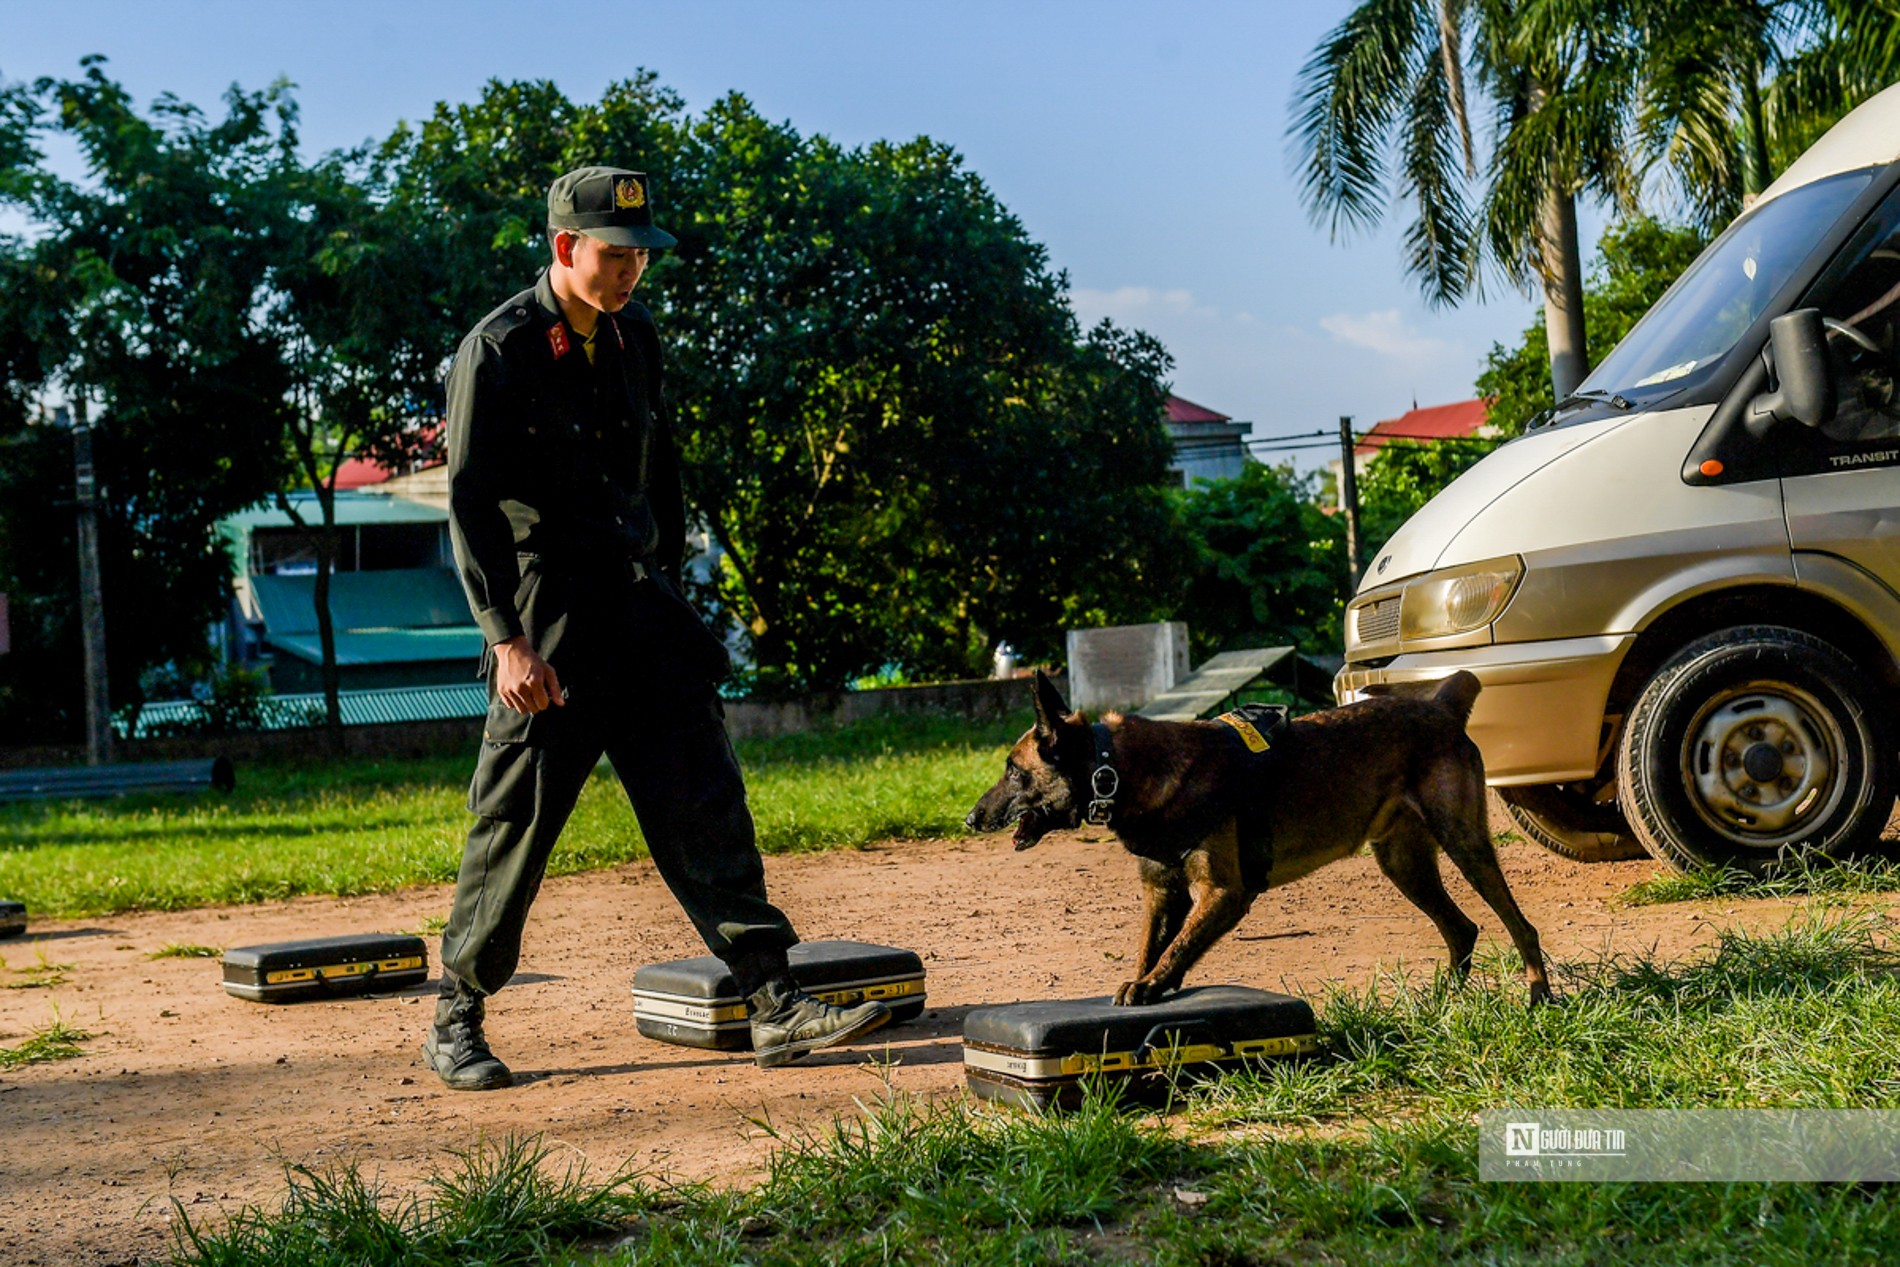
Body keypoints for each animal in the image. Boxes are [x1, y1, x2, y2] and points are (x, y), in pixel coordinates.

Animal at [965, 672, 1542, 1010]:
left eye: (1013, 772)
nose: (971, 817)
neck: (1118, 768)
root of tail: (1443, 705)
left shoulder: (1223, 892)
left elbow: (1178, 947)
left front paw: (1152, 986)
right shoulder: (1163, 893)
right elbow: (1152, 946)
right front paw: (1144, 981)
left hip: (1465, 843)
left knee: (1520, 926)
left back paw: (1539, 997)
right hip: (1404, 863)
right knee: (1462, 929)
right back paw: (1444, 1002)